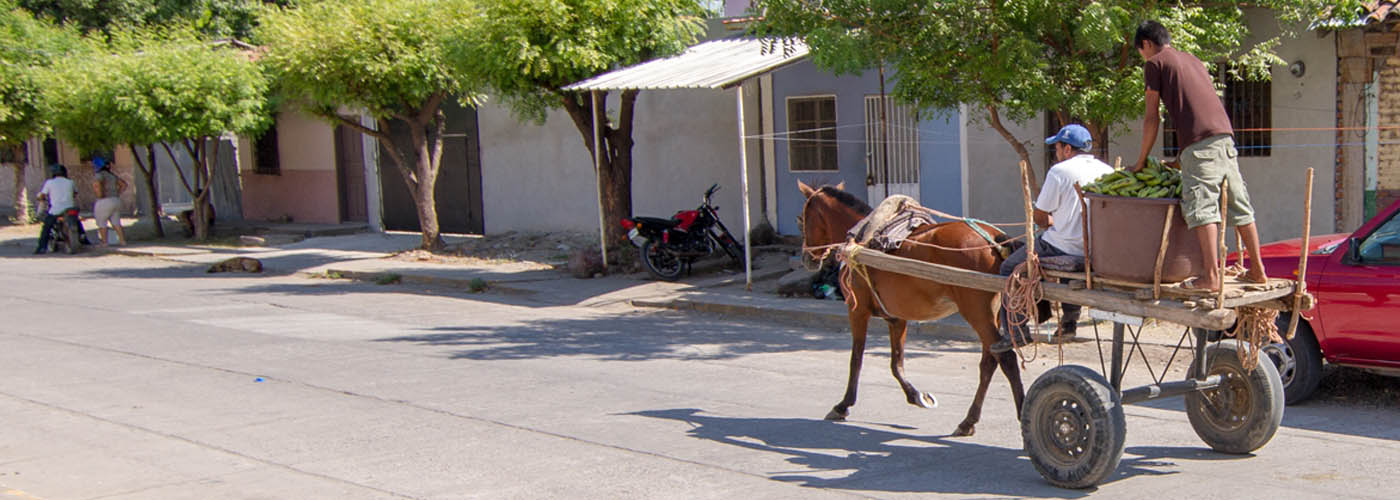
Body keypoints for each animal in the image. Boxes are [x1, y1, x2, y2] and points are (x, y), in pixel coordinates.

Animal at [800, 180, 1030, 434]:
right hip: (991, 314)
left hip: (977, 313)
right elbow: (896, 363)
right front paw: (917, 396)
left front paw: (843, 405)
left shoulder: (856, 310)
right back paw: (968, 421)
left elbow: (856, 359)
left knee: (1006, 359)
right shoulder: (896, 318)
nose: (806, 258)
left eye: (803, 218)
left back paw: (1022, 415)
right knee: (990, 361)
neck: (861, 242)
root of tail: (994, 238)